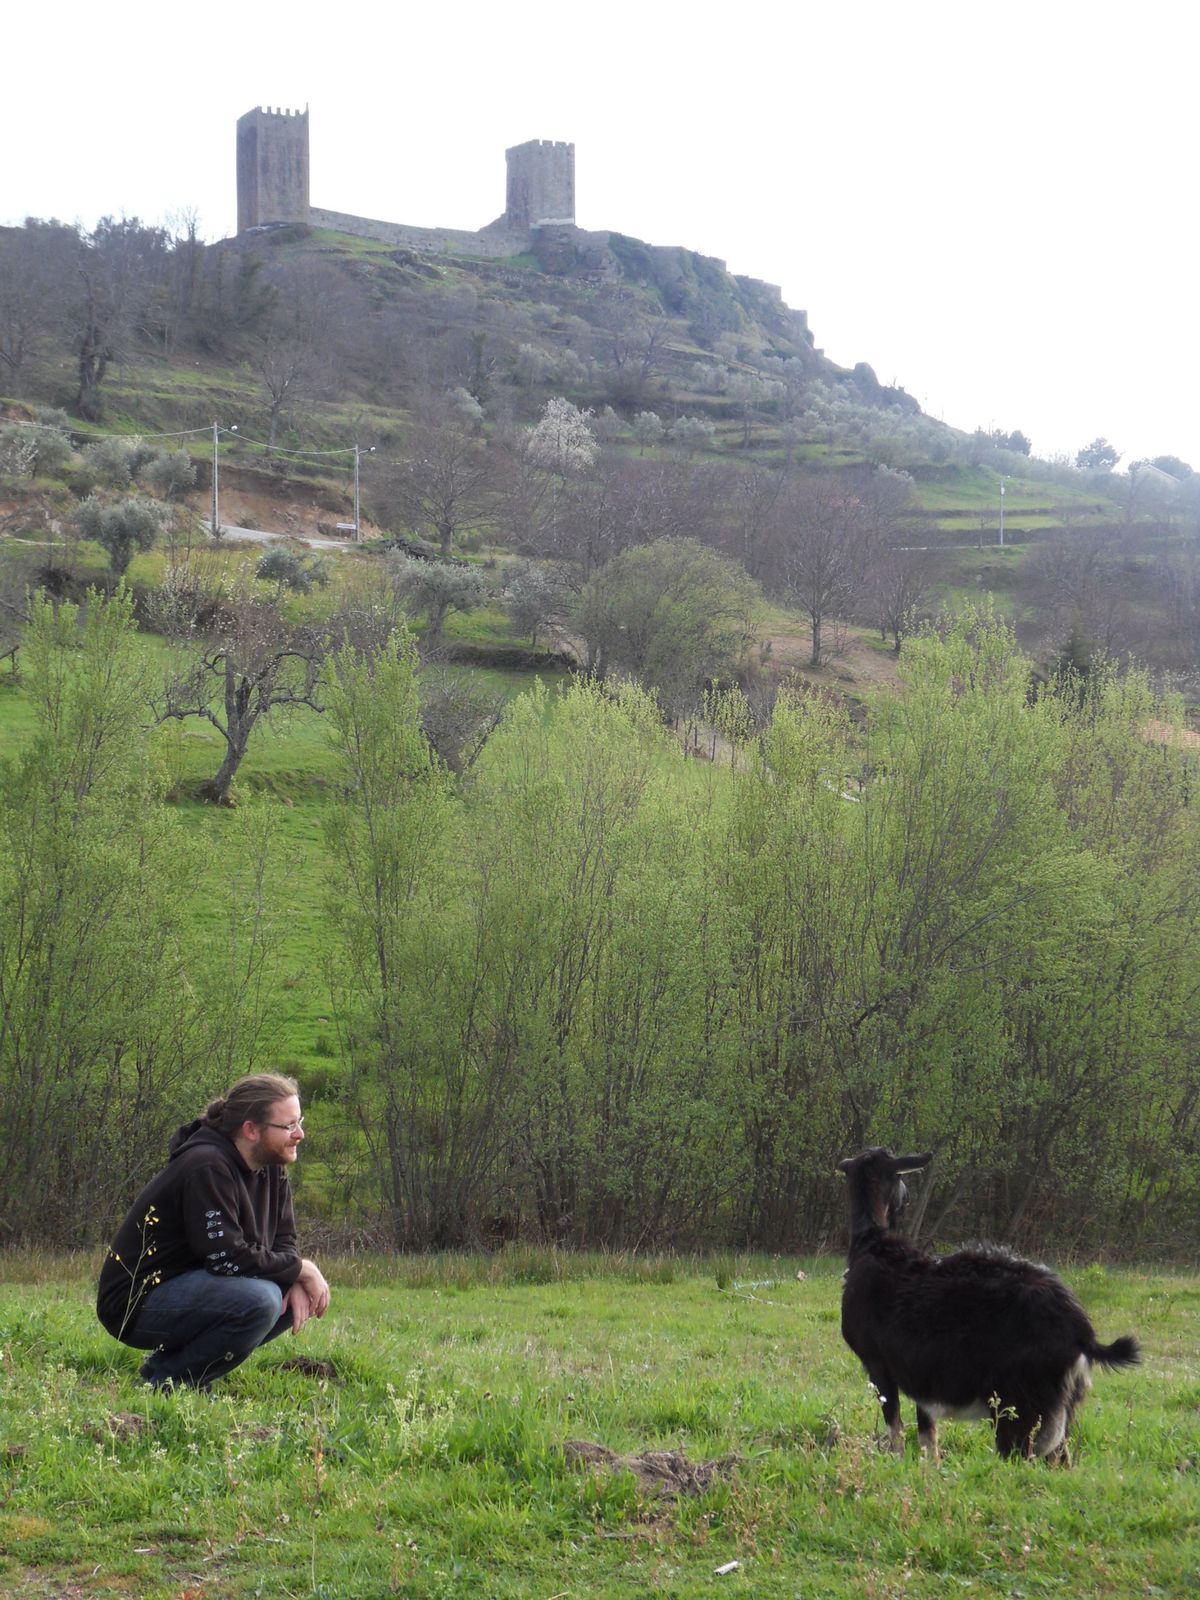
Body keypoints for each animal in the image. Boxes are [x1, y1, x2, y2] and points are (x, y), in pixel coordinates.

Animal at [838, 1152, 1139, 1465]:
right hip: (1061, 1410)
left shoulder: (878, 1365)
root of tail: (1081, 1331)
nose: (906, 1198)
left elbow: (895, 1426)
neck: (872, 1243)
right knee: (1061, 1459)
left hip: (1019, 1408)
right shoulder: (923, 1380)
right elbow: (927, 1436)